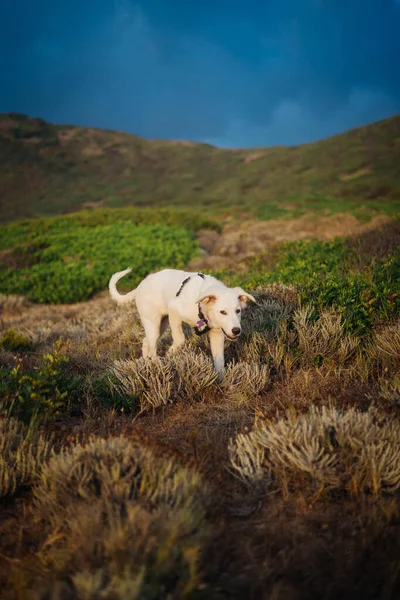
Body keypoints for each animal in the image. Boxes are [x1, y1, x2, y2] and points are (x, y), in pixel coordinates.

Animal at [108, 268, 255, 378]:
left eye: (238, 311)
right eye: (222, 312)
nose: (236, 330)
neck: (200, 304)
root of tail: (139, 286)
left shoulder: (217, 333)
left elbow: (219, 361)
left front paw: (222, 382)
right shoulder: (174, 310)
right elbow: (180, 338)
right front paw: (171, 352)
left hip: (161, 325)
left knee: (145, 342)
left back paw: (146, 363)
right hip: (154, 324)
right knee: (153, 347)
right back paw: (156, 365)